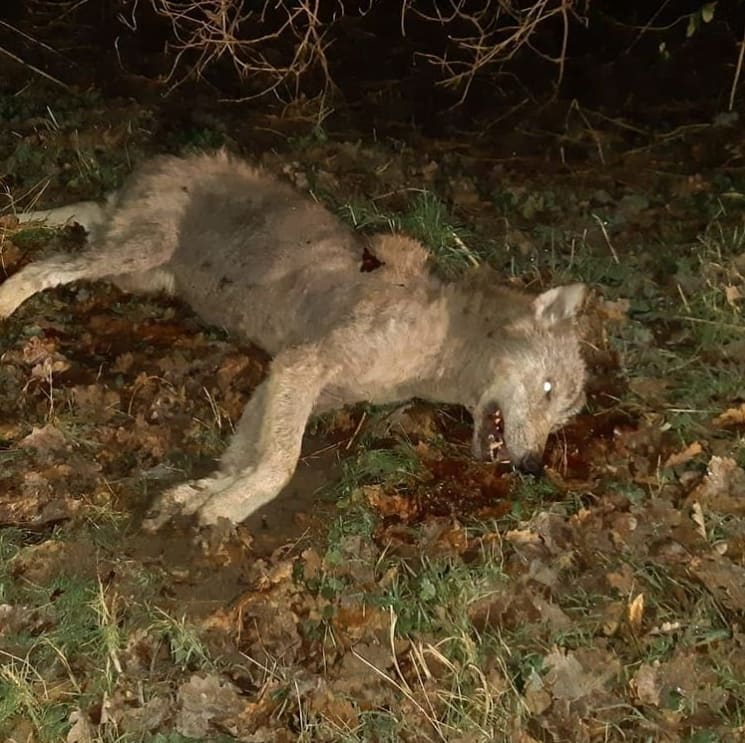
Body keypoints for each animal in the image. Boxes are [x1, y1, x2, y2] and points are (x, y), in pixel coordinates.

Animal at [0, 151, 587, 530]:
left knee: (84, 212)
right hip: (137, 253)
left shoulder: (286, 379)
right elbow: (281, 463)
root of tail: (164, 159)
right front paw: (227, 509)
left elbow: (244, 458)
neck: (440, 347)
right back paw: (7, 294)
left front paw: (197, 498)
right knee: (44, 265)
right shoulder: (302, 366)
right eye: (548, 388)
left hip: (138, 269)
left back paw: (15, 217)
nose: (533, 467)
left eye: (562, 418)